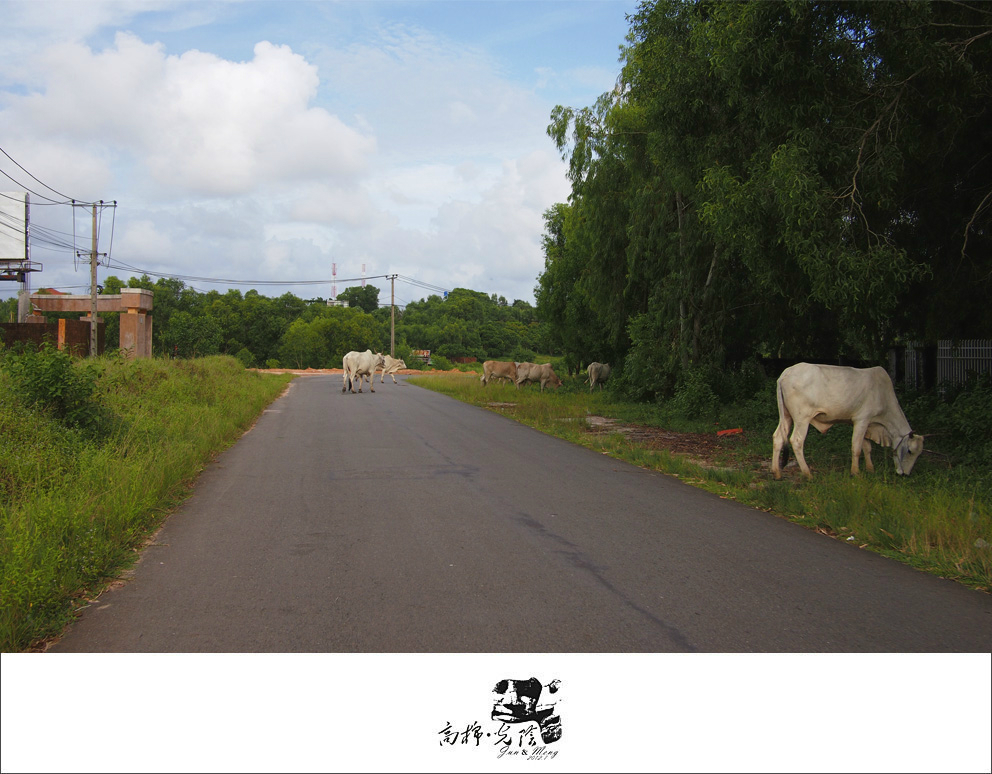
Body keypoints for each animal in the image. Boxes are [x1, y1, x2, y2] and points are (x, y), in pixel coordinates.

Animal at [772, 362, 928, 478]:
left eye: (919, 454)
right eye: (910, 451)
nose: (906, 474)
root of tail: (786, 374)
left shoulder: (865, 424)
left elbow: (867, 447)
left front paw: (870, 469)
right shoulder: (862, 420)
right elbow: (857, 447)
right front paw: (856, 472)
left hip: (786, 416)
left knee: (778, 437)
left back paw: (776, 472)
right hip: (802, 419)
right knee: (796, 441)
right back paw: (807, 473)